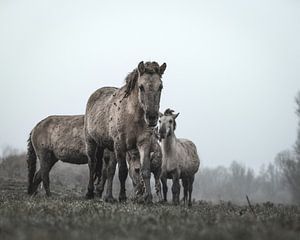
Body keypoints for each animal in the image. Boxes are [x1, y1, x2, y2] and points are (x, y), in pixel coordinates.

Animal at [84, 60, 166, 202]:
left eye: (160, 87)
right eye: (141, 87)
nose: (152, 117)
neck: (132, 116)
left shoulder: (144, 143)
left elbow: (145, 170)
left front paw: (148, 198)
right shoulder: (120, 144)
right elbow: (123, 171)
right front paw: (122, 196)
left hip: (110, 148)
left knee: (109, 170)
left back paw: (108, 197)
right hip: (92, 142)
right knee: (92, 164)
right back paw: (90, 192)